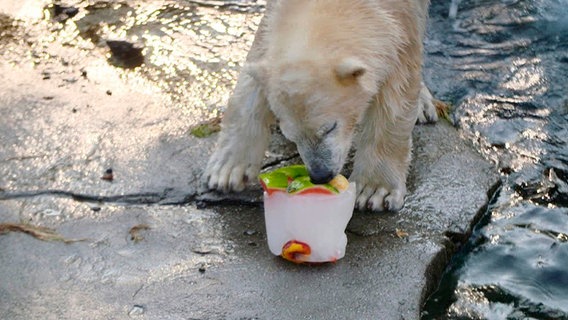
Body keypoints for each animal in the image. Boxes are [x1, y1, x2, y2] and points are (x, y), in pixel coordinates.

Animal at [202, 0, 438, 212]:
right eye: (291, 135)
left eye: (330, 127)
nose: (320, 175)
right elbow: (255, 67)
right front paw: (226, 171)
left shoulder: (402, 20)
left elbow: (396, 89)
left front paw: (374, 190)